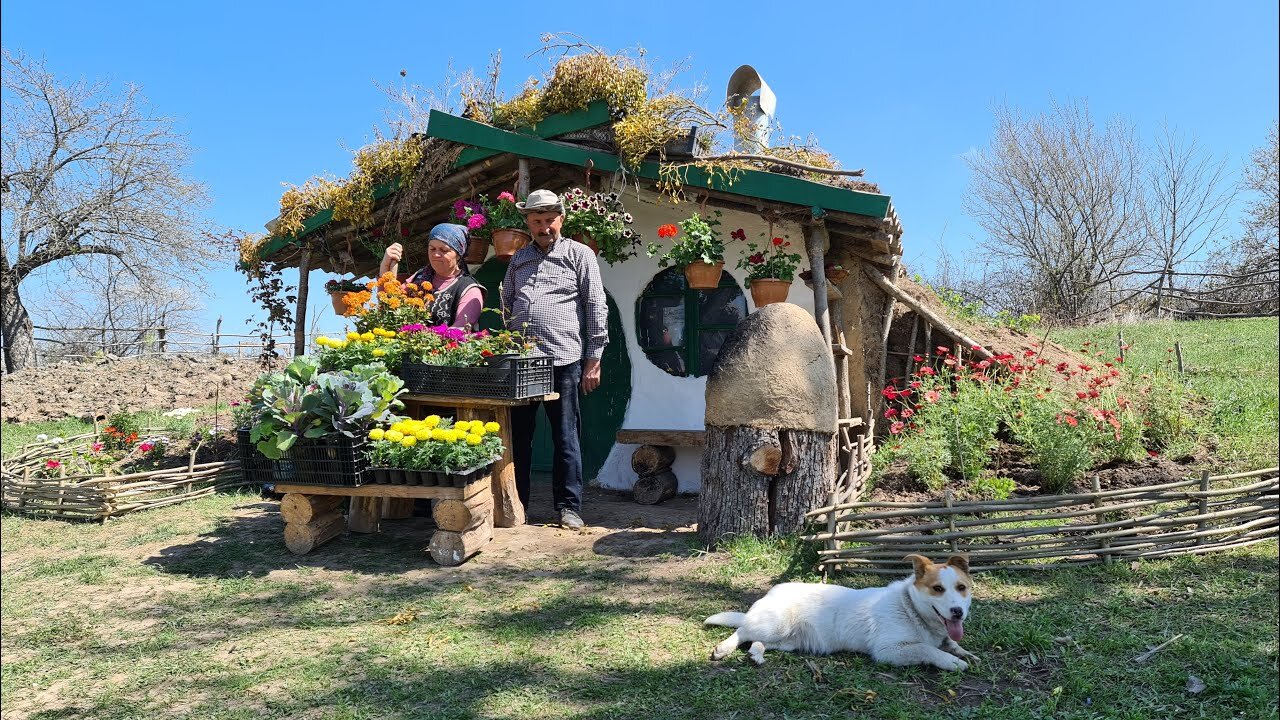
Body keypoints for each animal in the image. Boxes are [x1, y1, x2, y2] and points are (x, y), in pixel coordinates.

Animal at [706, 556, 972, 666]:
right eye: (937, 589)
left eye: (961, 588)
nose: (957, 612)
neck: (909, 607)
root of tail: (772, 592)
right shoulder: (888, 651)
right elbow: (928, 649)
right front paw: (951, 661)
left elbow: (948, 643)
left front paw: (963, 653)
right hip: (776, 626)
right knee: (742, 630)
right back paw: (724, 648)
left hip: (787, 641)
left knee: (756, 641)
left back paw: (757, 654)